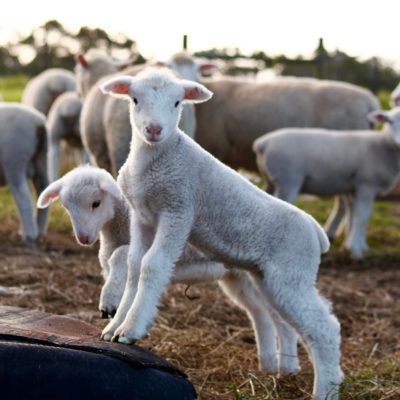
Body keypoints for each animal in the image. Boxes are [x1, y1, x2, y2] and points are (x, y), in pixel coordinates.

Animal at [0, 102, 49, 247]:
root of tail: (39, 123)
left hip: (14, 160)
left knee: (23, 198)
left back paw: (29, 236)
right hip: (41, 159)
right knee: (43, 190)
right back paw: (39, 231)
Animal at [101, 69, 342, 400]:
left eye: (177, 103)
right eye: (135, 100)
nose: (153, 130)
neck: (155, 158)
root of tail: (316, 231)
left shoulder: (179, 210)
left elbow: (153, 265)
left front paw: (131, 330)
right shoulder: (144, 217)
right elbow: (135, 266)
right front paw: (115, 327)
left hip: (292, 271)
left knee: (324, 328)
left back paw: (324, 390)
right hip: (270, 279)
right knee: (300, 326)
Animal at [253, 106, 400, 260]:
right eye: (390, 121)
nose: (399, 142)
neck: (382, 145)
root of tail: (263, 143)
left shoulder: (353, 187)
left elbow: (352, 213)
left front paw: (351, 245)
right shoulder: (366, 185)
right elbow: (362, 216)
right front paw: (356, 250)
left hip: (271, 181)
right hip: (288, 180)